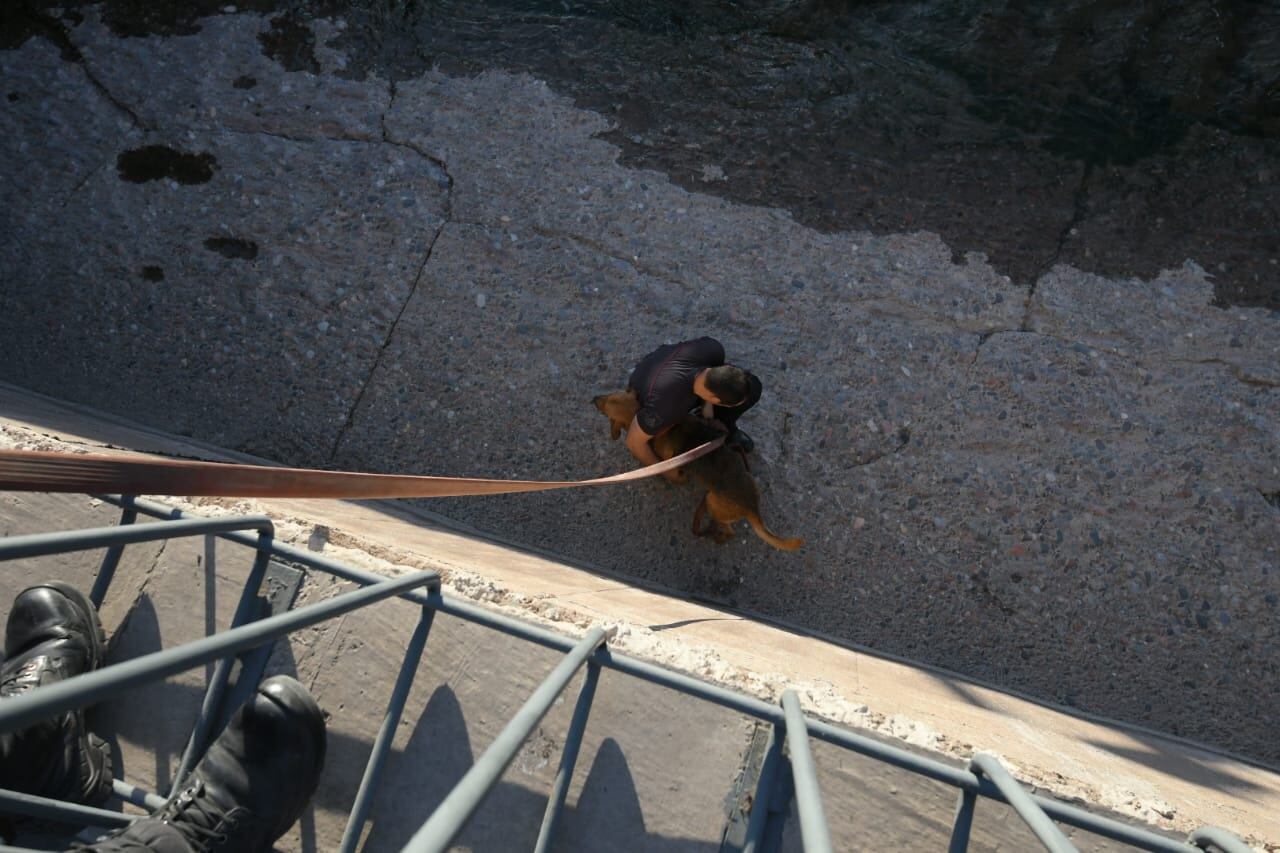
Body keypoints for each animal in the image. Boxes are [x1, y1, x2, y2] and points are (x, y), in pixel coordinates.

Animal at [588, 389, 798, 548]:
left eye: (606, 409)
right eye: (610, 394)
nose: (593, 398)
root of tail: (753, 508)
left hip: (712, 501)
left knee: (729, 532)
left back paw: (714, 535)